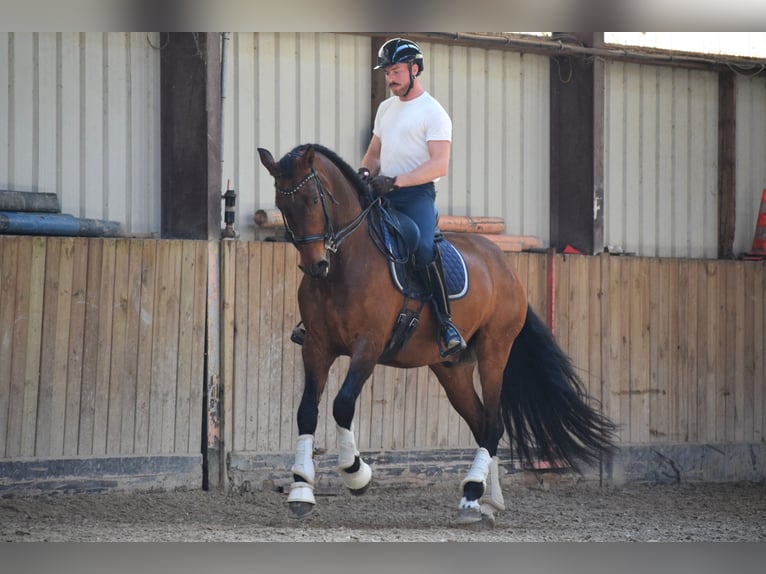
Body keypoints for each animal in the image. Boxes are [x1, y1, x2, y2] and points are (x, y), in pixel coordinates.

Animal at [258, 145, 616, 532]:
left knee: (493, 423)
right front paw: (300, 491)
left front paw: (356, 474)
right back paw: (487, 503)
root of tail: (504, 266)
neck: (345, 265)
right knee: (481, 422)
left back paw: (472, 496)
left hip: (494, 353)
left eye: (312, 199)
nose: (316, 266)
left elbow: (342, 405)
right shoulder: (317, 346)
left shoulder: (368, 346)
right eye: (282, 205)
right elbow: (307, 411)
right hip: (451, 369)